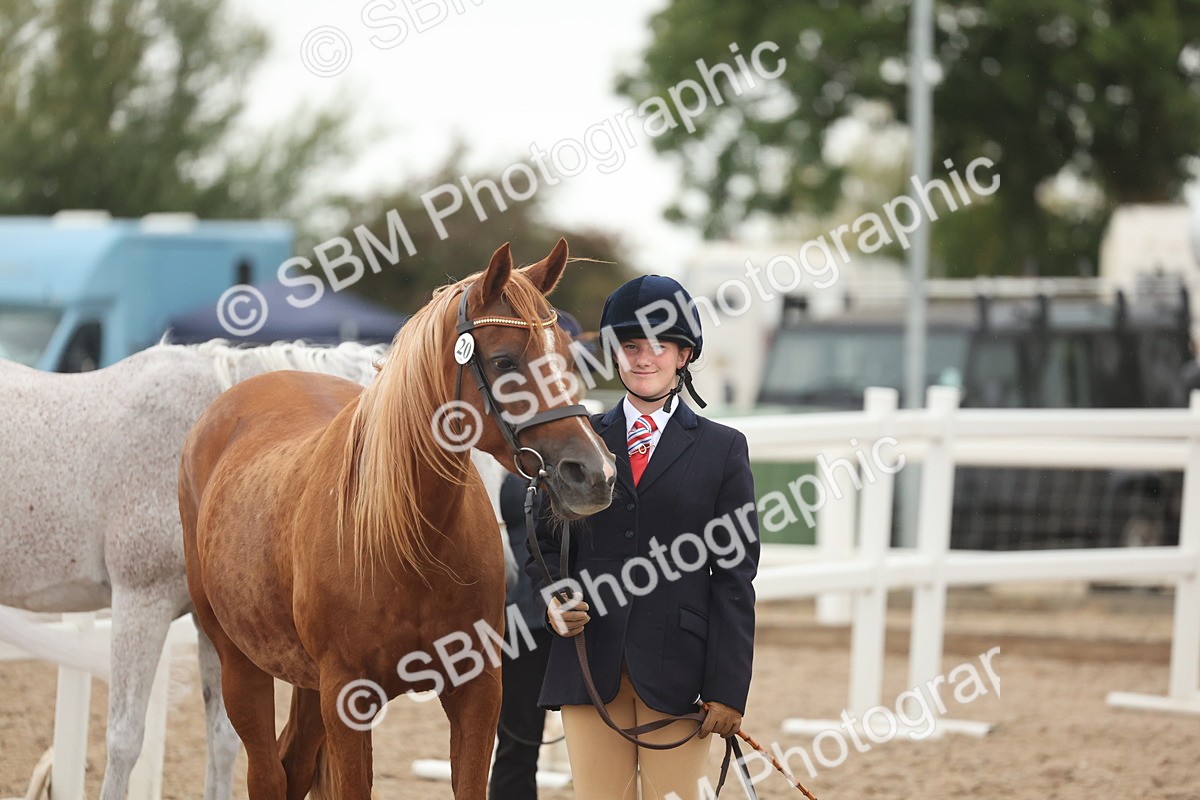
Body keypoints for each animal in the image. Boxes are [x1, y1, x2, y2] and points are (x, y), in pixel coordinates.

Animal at [179, 239, 616, 799]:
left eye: (567, 360)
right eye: (503, 360)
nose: (594, 474)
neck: (412, 540)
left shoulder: (477, 691)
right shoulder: (347, 696)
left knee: (292, 763)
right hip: (240, 664)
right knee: (267, 773)